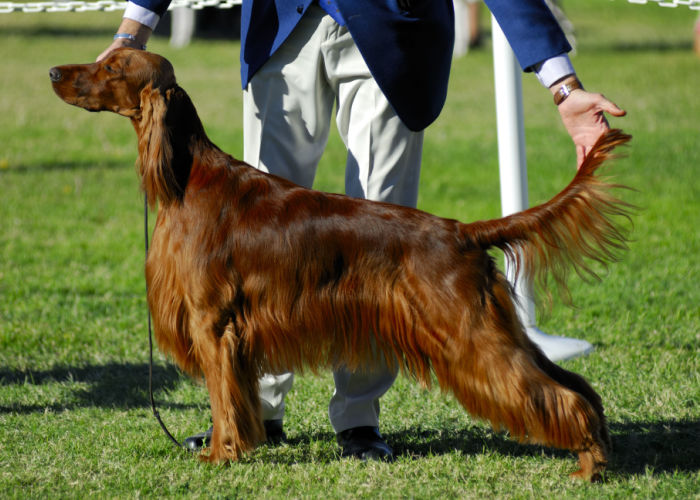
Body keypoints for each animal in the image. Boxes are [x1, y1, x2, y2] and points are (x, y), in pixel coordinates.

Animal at [50, 49, 628, 480]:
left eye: (112, 67)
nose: (54, 72)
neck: (186, 177)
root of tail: (460, 231)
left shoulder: (214, 324)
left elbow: (222, 401)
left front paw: (220, 455)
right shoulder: (233, 334)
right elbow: (237, 399)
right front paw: (239, 446)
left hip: (472, 335)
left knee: (557, 395)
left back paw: (588, 465)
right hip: (496, 328)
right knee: (576, 386)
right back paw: (598, 453)